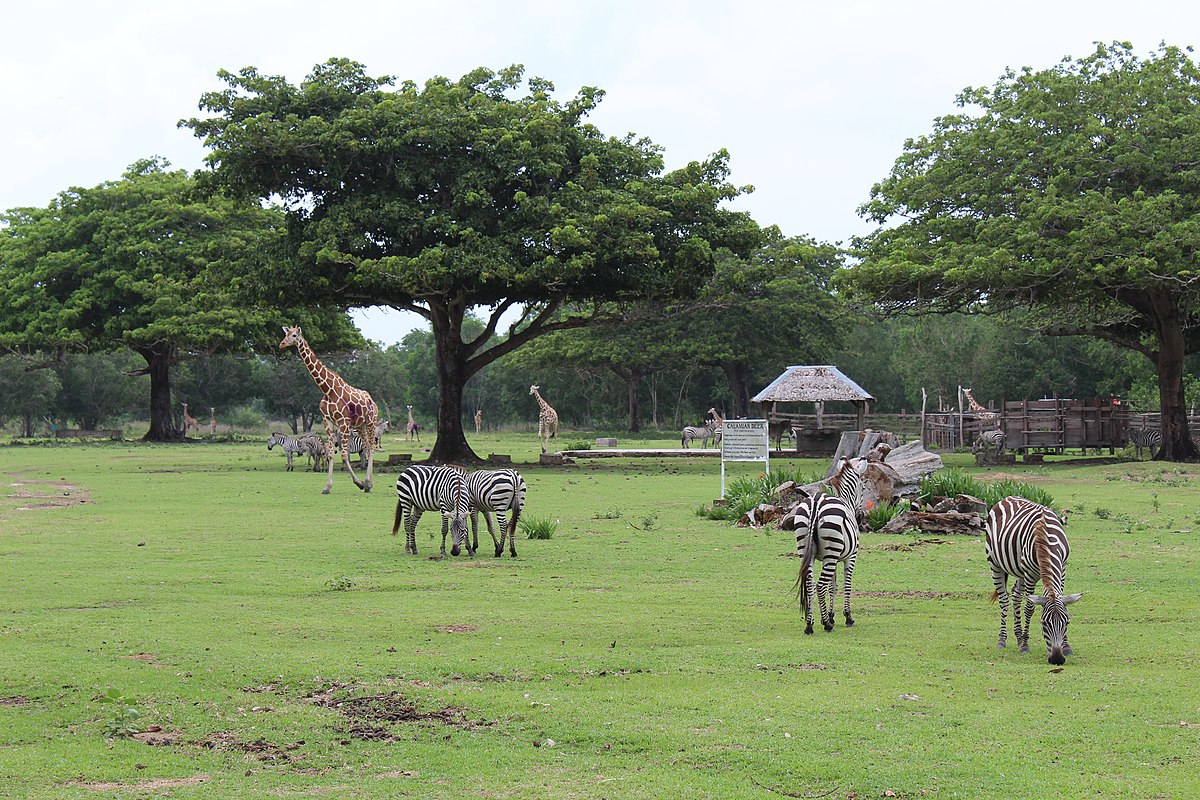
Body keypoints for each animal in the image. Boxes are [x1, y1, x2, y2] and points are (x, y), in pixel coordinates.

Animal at [279, 326, 376, 494]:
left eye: (294, 335)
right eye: (285, 334)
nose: (282, 344)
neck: (327, 389)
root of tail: (373, 402)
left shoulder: (343, 422)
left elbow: (343, 455)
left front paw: (359, 483)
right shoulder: (328, 421)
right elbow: (330, 454)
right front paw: (327, 487)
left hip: (371, 421)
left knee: (371, 448)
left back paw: (368, 483)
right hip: (360, 425)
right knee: (368, 448)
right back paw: (369, 484)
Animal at [792, 491, 859, 633]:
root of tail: (816, 501)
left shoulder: (830, 559)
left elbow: (832, 587)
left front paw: (830, 616)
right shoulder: (851, 556)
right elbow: (846, 585)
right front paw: (847, 617)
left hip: (806, 548)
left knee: (810, 584)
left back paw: (809, 624)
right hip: (832, 547)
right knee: (820, 585)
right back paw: (827, 625)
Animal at [984, 496, 1089, 666]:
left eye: (1067, 623)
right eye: (1044, 623)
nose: (1057, 660)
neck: (1047, 538)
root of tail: (1007, 498)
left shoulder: (1063, 568)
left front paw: (1067, 646)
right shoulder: (1030, 574)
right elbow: (1029, 608)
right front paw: (1025, 645)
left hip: (1020, 570)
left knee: (1016, 595)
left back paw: (1019, 637)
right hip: (995, 563)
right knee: (1004, 599)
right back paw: (1003, 640)